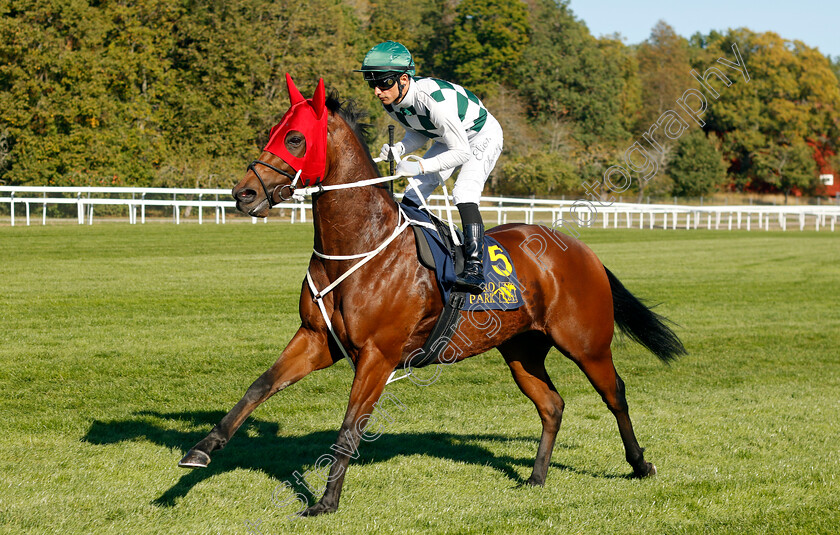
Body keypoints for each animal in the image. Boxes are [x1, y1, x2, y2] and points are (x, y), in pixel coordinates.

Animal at [177, 75, 684, 520]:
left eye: (296, 138)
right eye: (273, 134)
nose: (242, 194)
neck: (359, 245)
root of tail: (580, 248)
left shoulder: (378, 355)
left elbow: (350, 427)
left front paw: (325, 502)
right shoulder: (316, 339)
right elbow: (259, 386)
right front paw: (201, 450)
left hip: (586, 342)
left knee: (615, 395)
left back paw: (640, 464)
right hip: (521, 349)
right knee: (551, 405)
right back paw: (537, 477)